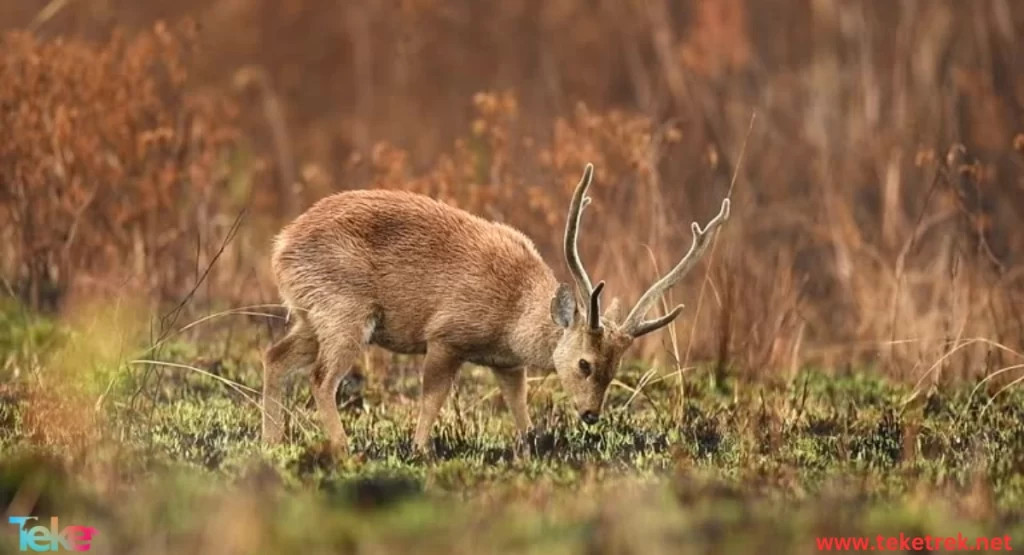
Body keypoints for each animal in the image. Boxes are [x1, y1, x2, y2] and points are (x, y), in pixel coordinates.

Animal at [260, 162, 733, 458]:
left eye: (616, 368)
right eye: (584, 363)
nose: (590, 415)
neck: (512, 317)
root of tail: (279, 248)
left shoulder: (508, 364)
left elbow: (520, 411)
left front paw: (528, 450)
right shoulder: (445, 336)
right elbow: (432, 399)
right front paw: (420, 450)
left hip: (311, 315)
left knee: (274, 357)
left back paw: (274, 442)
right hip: (345, 311)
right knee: (321, 378)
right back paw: (343, 450)